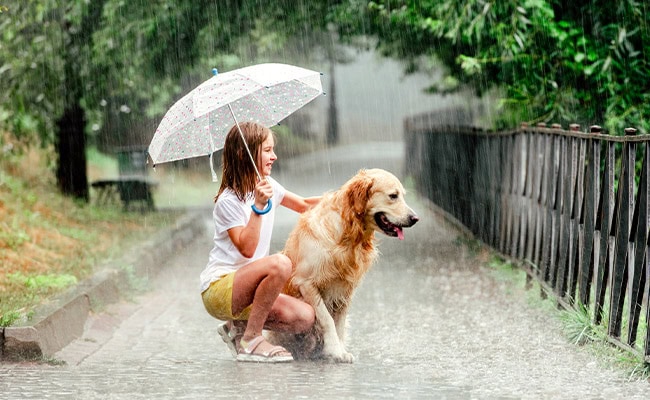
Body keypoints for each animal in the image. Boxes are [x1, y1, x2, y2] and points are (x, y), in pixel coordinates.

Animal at [268, 169, 416, 362]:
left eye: (403, 195)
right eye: (393, 196)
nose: (415, 218)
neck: (348, 236)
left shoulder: (345, 290)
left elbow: (339, 323)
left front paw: (340, 350)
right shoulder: (306, 283)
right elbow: (327, 319)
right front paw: (335, 350)